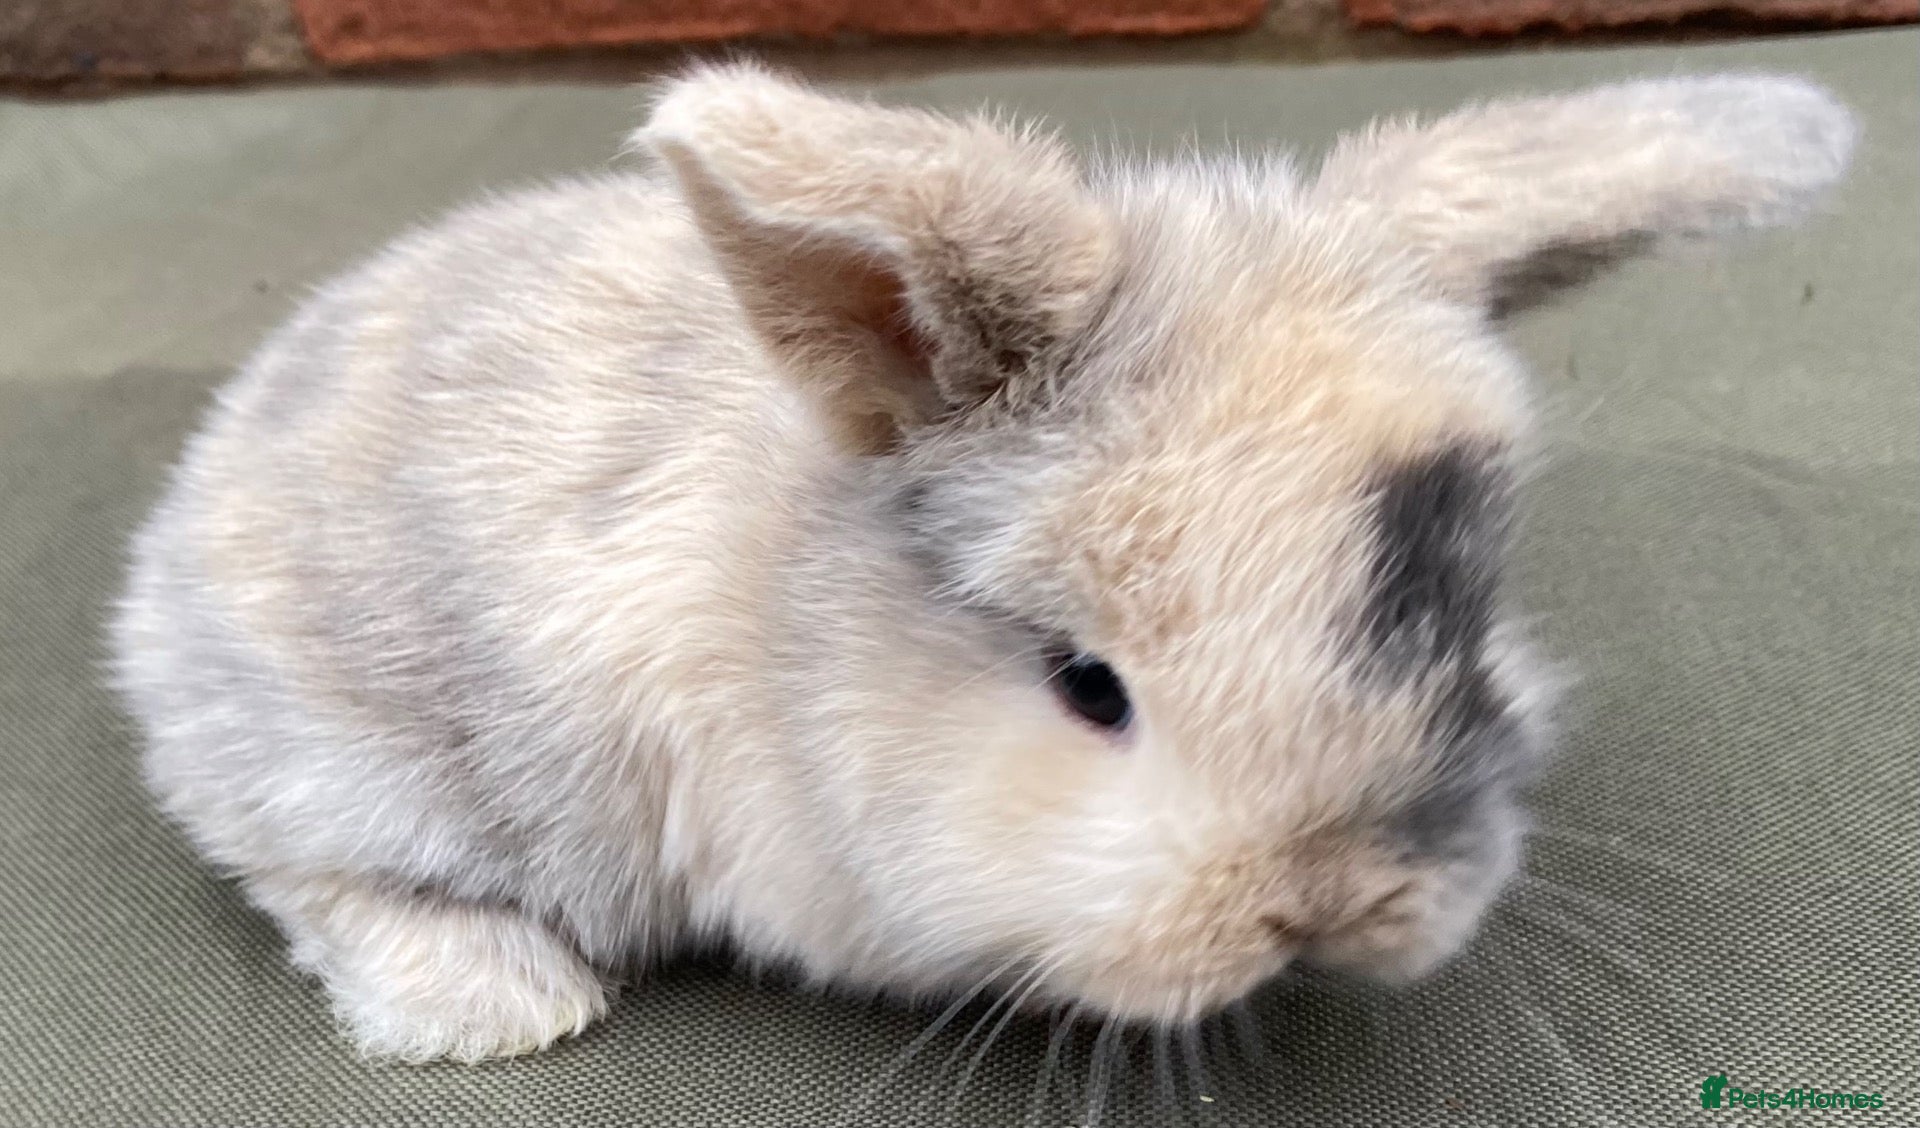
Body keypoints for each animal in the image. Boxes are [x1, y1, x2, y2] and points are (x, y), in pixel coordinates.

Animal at [109, 62, 1855, 1063]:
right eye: (1089, 686)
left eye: (1462, 619)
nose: (1335, 904)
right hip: (349, 754)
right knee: (304, 869)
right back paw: (495, 1004)